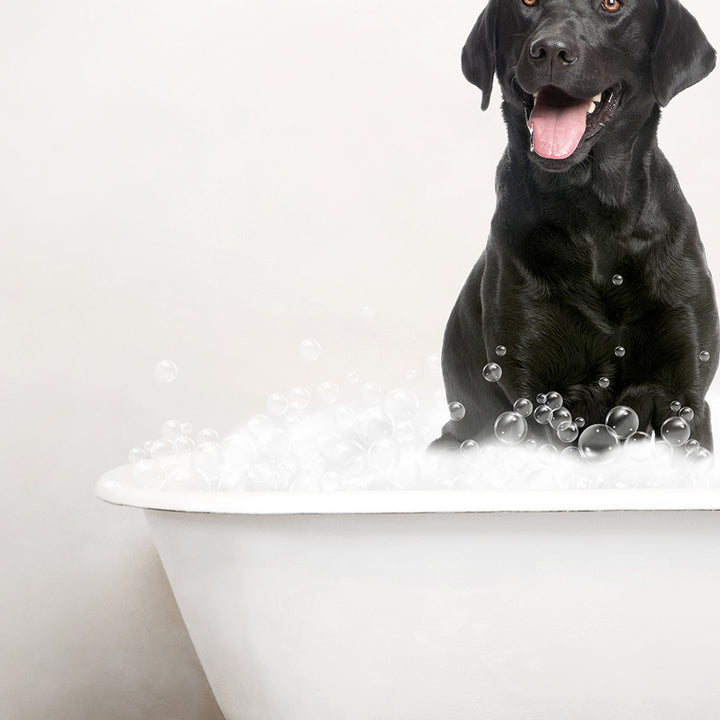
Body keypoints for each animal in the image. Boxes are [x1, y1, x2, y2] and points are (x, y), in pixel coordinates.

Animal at [434, 0, 720, 450]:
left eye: (611, 4)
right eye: (527, 3)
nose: (550, 50)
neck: (595, 217)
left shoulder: (684, 395)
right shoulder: (536, 400)